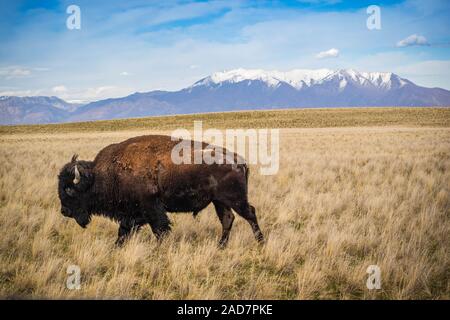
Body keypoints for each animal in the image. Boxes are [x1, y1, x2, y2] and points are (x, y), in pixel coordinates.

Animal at [58, 134, 266, 246]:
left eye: (69, 191)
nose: (64, 211)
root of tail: (239, 160)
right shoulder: (133, 214)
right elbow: (124, 231)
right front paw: (116, 247)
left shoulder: (151, 208)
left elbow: (160, 229)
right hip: (219, 201)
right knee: (227, 219)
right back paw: (221, 246)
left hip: (235, 199)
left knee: (250, 214)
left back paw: (260, 243)